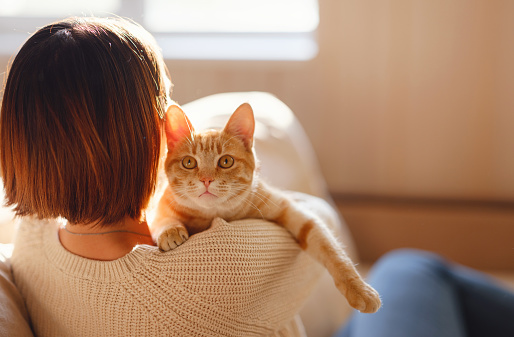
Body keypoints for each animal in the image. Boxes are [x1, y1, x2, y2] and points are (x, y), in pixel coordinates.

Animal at [150, 102, 378, 312]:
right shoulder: (159, 208)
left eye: (226, 161)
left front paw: (359, 289)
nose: (206, 180)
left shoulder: (294, 212)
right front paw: (170, 230)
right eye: (189, 162)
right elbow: (161, 219)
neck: (214, 213)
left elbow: (331, 250)